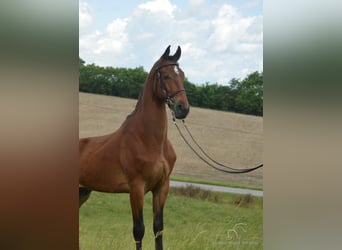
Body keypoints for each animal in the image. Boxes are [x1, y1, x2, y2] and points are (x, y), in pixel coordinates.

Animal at [79, 45, 190, 250]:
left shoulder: (162, 187)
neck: (150, 140)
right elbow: (139, 230)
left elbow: (158, 228)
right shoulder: (136, 188)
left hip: (82, 192)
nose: (182, 108)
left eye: (182, 75)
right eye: (166, 75)